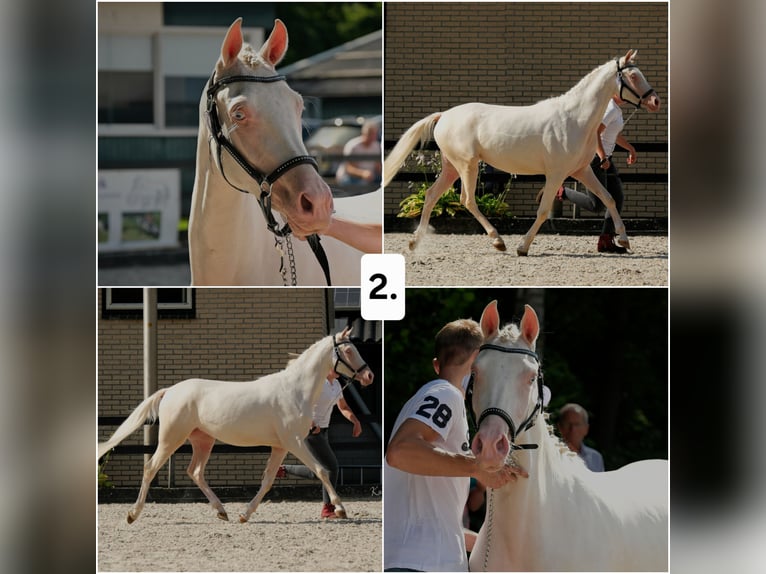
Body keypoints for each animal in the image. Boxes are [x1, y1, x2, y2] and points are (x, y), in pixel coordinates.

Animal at [97, 326, 374, 524]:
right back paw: (133, 514)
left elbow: (268, 480)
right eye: (349, 351)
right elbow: (321, 470)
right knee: (150, 468)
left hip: (203, 440)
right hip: (171, 439)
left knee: (195, 472)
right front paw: (341, 509)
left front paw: (244, 515)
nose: (369, 376)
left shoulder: (281, 446)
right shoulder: (294, 441)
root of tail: (170, 391)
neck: (295, 390)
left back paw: (222, 512)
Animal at [383, 50, 661, 256]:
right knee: (467, 200)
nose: (655, 101)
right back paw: (498, 241)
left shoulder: (581, 171)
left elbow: (609, 199)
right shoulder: (556, 174)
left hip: (451, 167)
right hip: (467, 165)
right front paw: (522, 247)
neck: (574, 118)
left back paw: (414, 242)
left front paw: (624, 240)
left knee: (431, 195)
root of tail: (444, 116)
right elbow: (543, 210)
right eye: (633, 75)